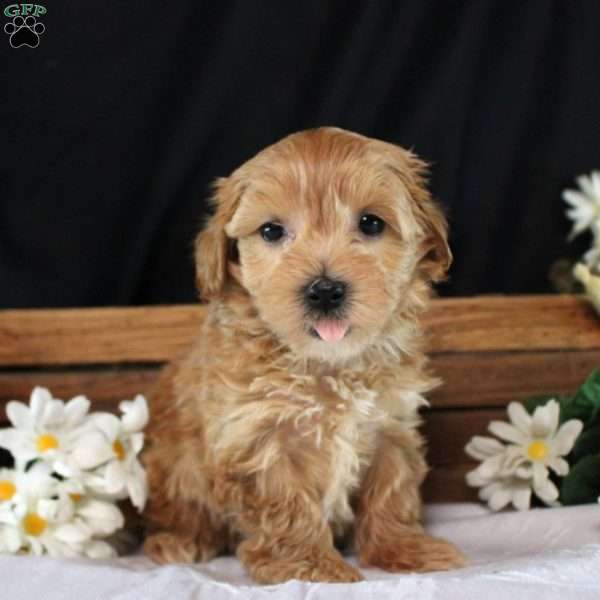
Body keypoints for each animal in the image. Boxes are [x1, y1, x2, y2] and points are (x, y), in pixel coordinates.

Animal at [143, 126, 466, 580]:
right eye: (271, 231)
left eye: (371, 223)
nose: (325, 290)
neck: (328, 364)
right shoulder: (258, 439)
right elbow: (287, 507)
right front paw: (309, 565)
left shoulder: (391, 424)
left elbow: (392, 489)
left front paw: (405, 549)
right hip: (173, 467)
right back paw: (179, 542)